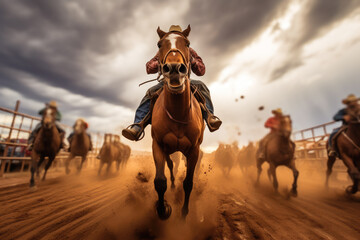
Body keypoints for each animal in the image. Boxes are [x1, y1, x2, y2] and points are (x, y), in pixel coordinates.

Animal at [150, 25, 205, 220]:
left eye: (187, 43)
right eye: (159, 44)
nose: (174, 68)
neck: (178, 114)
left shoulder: (194, 149)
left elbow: (188, 183)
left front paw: (184, 212)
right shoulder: (158, 145)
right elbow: (160, 181)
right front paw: (163, 209)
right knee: (170, 166)